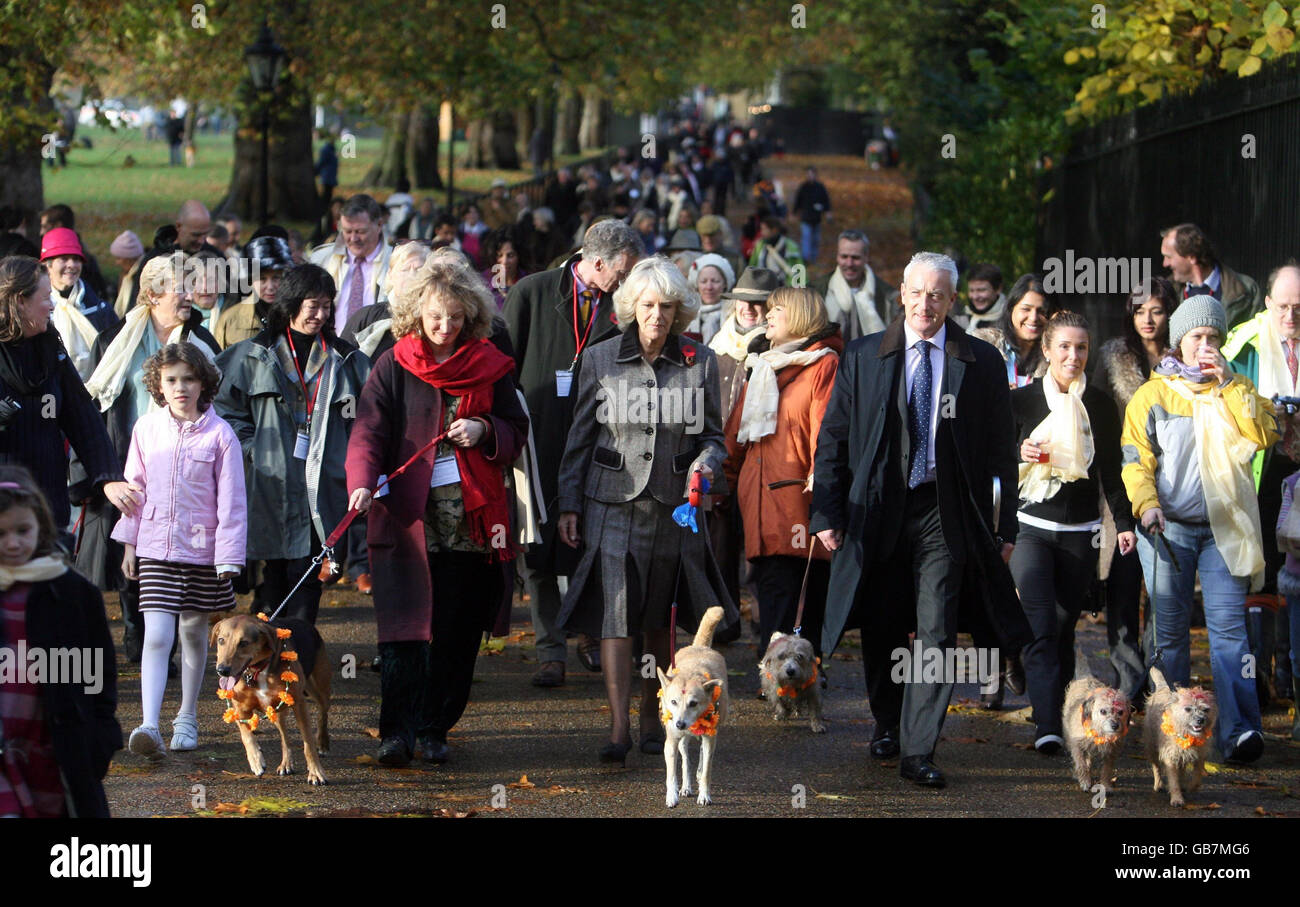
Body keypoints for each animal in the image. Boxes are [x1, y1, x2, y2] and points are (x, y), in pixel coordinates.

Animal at [210, 615, 332, 784]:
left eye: (244, 643)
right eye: (221, 640)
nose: (222, 670)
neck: (257, 670)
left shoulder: (299, 704)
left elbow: (308, 743)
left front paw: (316, 772)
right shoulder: (240, 708)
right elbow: (246, 735)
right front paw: (256, 761)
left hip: (319, 686)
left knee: (323, 712)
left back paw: (323, 743)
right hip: (277, 710)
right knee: (284, 737)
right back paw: (286, 763)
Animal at [660, 608, 733, 805]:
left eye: (693, 703)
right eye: (673, 702)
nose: (680, 724)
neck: (692, 672)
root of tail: (699, 646)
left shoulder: (710, 738)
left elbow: (707, 769)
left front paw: (704, 795)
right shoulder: (671, 741)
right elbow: (671, 774)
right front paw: (672, 796)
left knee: (701, 755)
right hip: (682, 739)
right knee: (685, 759)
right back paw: (686, 786)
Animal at [1066, 652, 1128, 790]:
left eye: (1121, 712)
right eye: (1103, 711)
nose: (1115, 726)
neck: (1099, 731)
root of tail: (1086, 677)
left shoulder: (1111, 753)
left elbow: (1107, 770)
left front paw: (1106, 785)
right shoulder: (1077, 745)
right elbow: (1080, 763)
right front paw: (1085, 781)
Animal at [1144, 665, 1211, 805]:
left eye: (1206, 709)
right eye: (1188, 709)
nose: (1200, 720)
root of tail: (1163, 687)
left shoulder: (1200, 755)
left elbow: (1197, 774)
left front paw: (1192, 786)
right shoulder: (1170, 757)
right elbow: (1173, 780)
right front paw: (1177, 798)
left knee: (1183, 768)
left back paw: (1183, 783)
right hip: (1152, 746)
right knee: (1156, 766)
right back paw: (1158, 784)